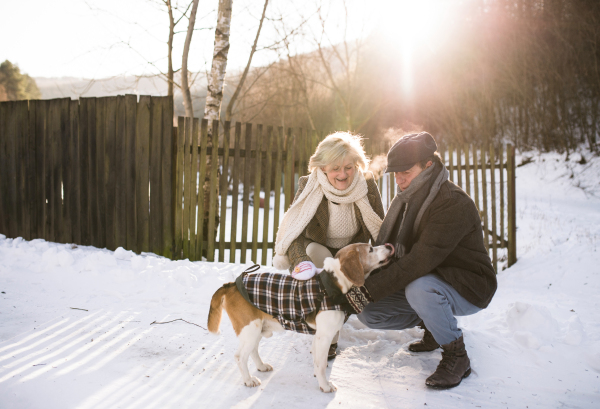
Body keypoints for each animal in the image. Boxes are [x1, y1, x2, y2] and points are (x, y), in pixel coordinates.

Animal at [206, 242, 394, 392]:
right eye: (370, 249)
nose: (388, 245)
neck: (333, 285)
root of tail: (231, 285)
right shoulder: (324, 336)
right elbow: (321, 364)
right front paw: (325, 386)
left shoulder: (318, 337)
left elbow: (318, 362)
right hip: (250, 330)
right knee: (240, 357)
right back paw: (248, 380)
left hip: (257, 329)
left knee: (252, 351)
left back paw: (260, 366)